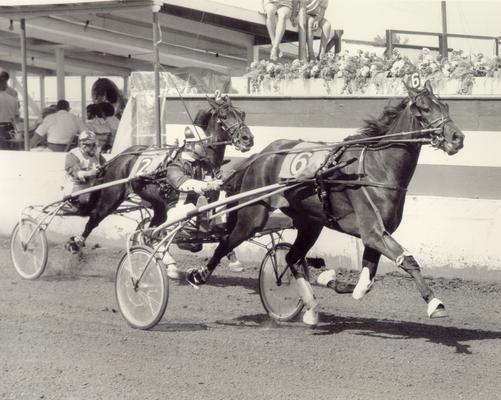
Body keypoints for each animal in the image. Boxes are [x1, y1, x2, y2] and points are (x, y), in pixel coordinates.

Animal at [65, 95, 254, 252]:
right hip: (114, 196)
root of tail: (121, 156)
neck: (199, 159)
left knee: (151, 226)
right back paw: (76, 242)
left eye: (242, 114)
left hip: (153, 204)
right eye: (223, 115)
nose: (248, 139)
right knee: (95, 217)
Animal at [188, 82, 464, 324]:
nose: (457, 137)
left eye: (446, 106)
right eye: (424, 109)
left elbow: (365, 283)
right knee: (226, 242)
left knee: (293, 258)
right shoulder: (372, 232)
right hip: (253, 217)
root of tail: (261, 156)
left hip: (311, 223)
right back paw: (199, 275)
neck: (377, 167)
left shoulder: (377, 234)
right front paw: (435, 304)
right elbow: (407, 261)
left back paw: (311, 309)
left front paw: (330, 279)